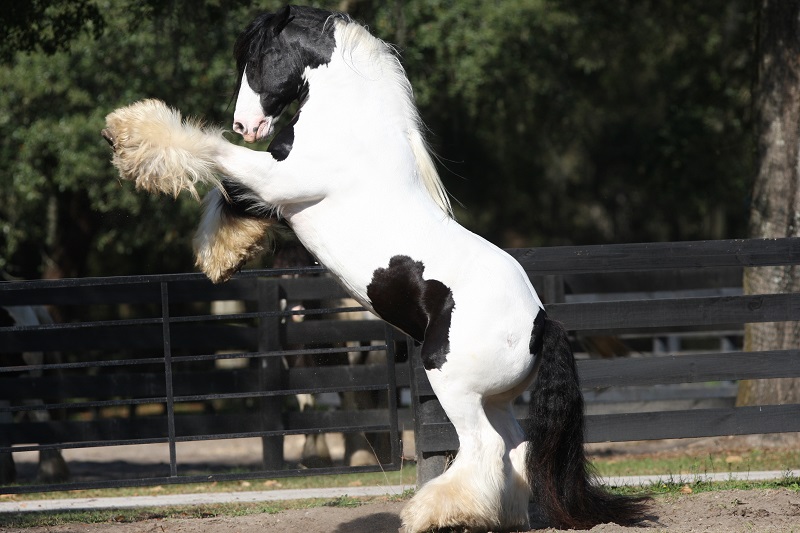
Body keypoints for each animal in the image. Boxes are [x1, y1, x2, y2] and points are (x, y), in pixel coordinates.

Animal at [101, 5, 648, 531]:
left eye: (255, 59)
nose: (245, 125)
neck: (355, 129)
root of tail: (541, 322)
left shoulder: (283, 181)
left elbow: (213, 151)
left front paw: (126, 130)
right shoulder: (280, 187)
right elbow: (227, 193)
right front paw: (221, 257)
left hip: (452, 383)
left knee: (484, 450)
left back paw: (431, 514)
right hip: (494, 399)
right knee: (513, 452)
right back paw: (493, 518)